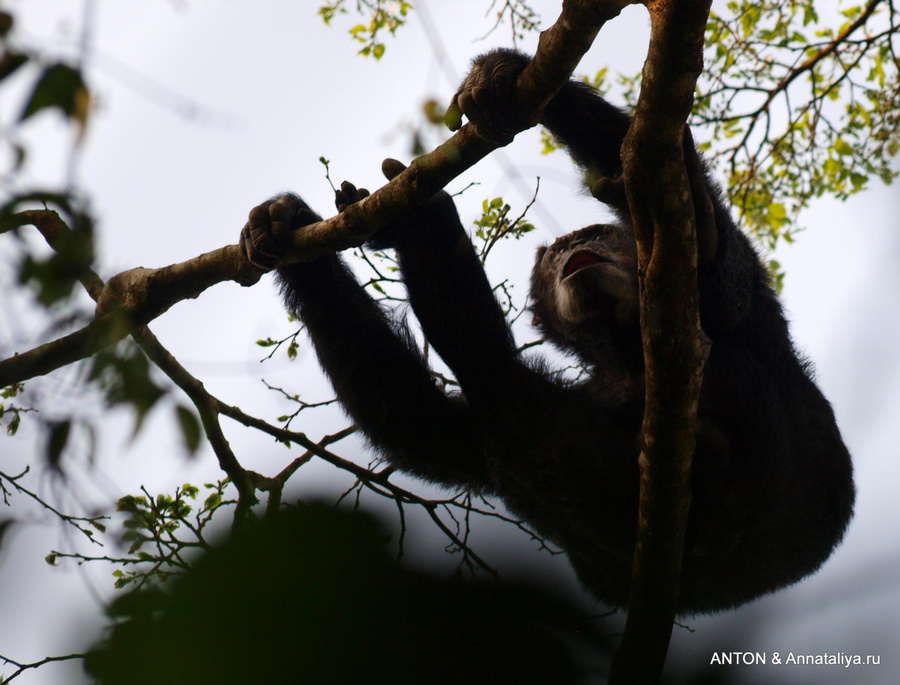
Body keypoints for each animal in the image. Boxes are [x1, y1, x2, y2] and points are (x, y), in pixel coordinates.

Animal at [241, 49, 856, 616]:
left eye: (589, 237)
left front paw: (502, 71)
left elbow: (682, 207)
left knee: (508, 390)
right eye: (557, 254)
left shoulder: (737, 298)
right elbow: (427, 425)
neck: (626, 345)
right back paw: (420, 221)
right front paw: (285, 226)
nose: (568, 253)